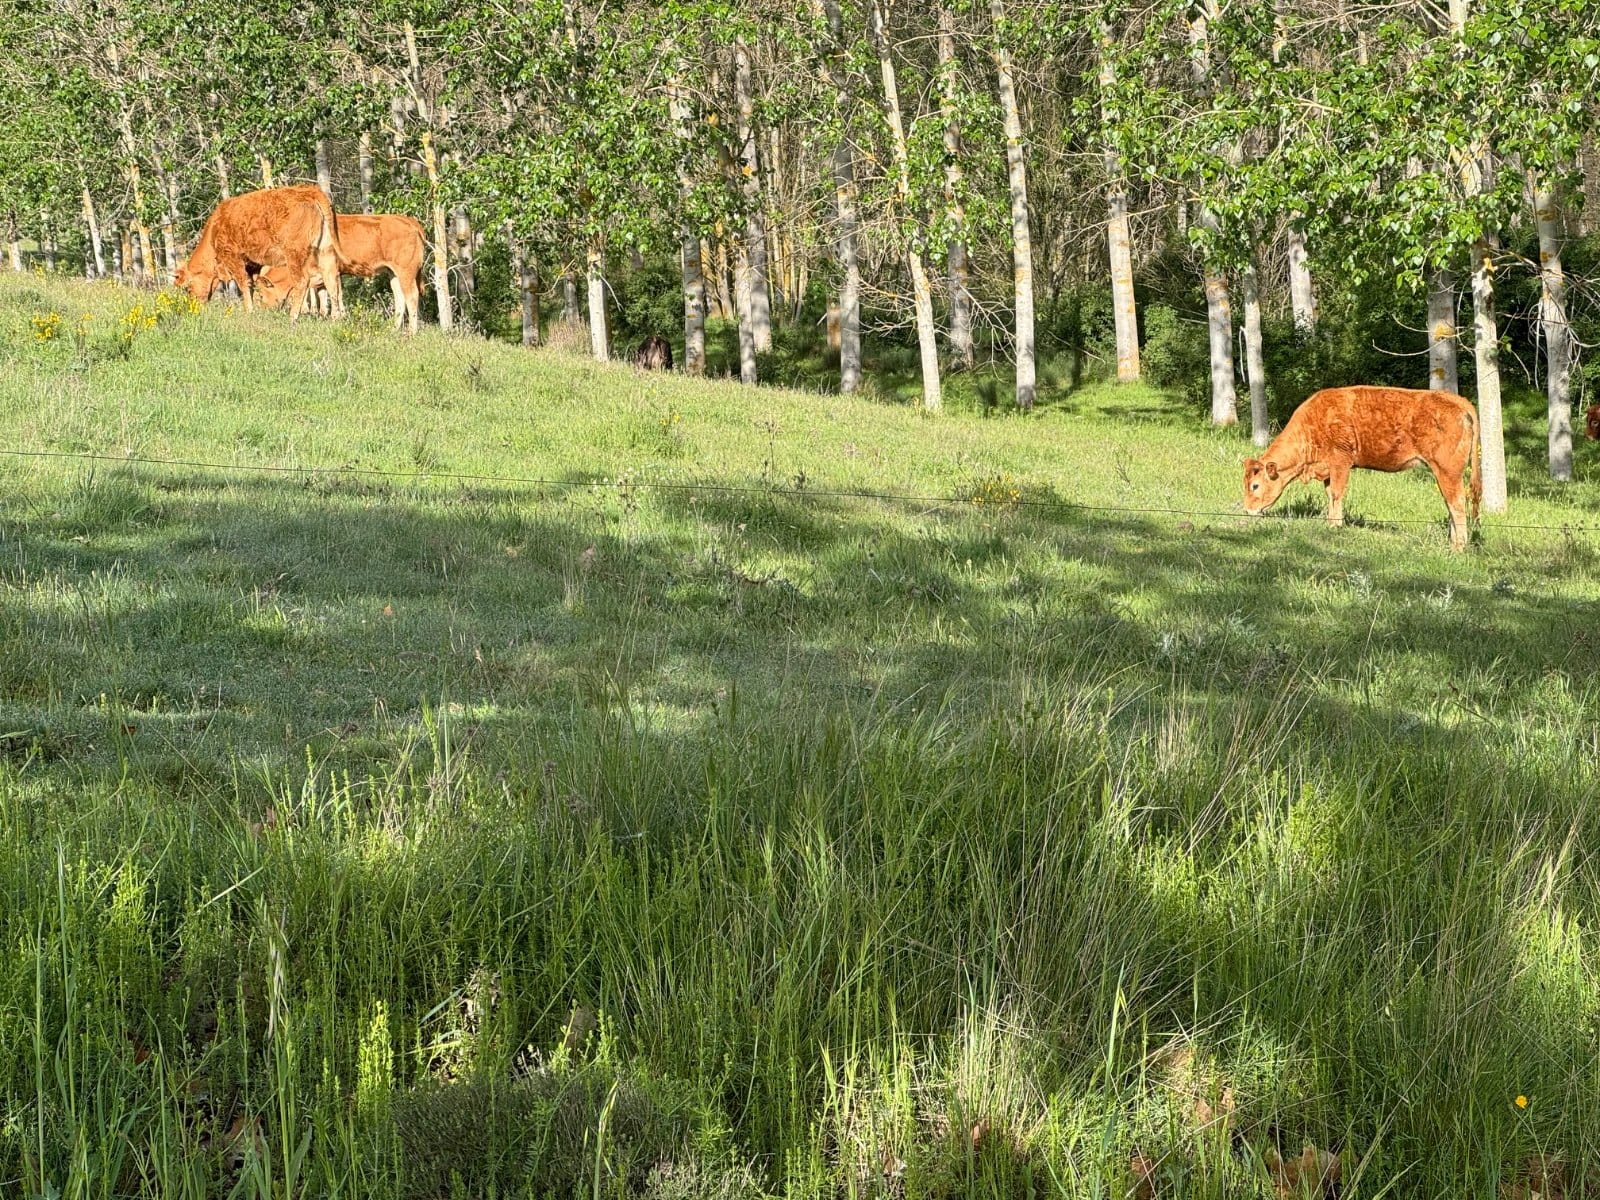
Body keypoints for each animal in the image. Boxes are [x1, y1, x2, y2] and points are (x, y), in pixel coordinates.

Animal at [174, 185, 343, 322]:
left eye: (187, 288)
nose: (194, 306)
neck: (214, 231)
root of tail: (310, 191)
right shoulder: (253, 264)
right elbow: (251, 285)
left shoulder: (233, 258)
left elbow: (243, 283)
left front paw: (249, 311)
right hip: (325, 250)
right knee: (331, 281)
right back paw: (335, 318)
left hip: (294, 254)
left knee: (302, 282)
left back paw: (293, 317)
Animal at [254, 213, 426, 334]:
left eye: (261, 295)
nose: (259, 312)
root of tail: (408, 220)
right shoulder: (322, 278)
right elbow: (328, 298)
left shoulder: (329, 272)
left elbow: (332, 295)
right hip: (393, 273)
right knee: (399, 297)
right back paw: (394, 328)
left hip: (406, 271)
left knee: (411, 296)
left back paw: (412, 332)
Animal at [1242, 385, 1481, 551]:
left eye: (1255, 486)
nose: (1248, 510)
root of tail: (1457, 400)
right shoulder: (1328, 470)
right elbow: (1330, 495)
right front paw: (1330, 523)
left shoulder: (1341, 462)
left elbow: (1337, 493)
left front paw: (1335, 526)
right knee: (1450, 503)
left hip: (1447, 471)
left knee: (1457, 502)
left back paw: (1458, 547)